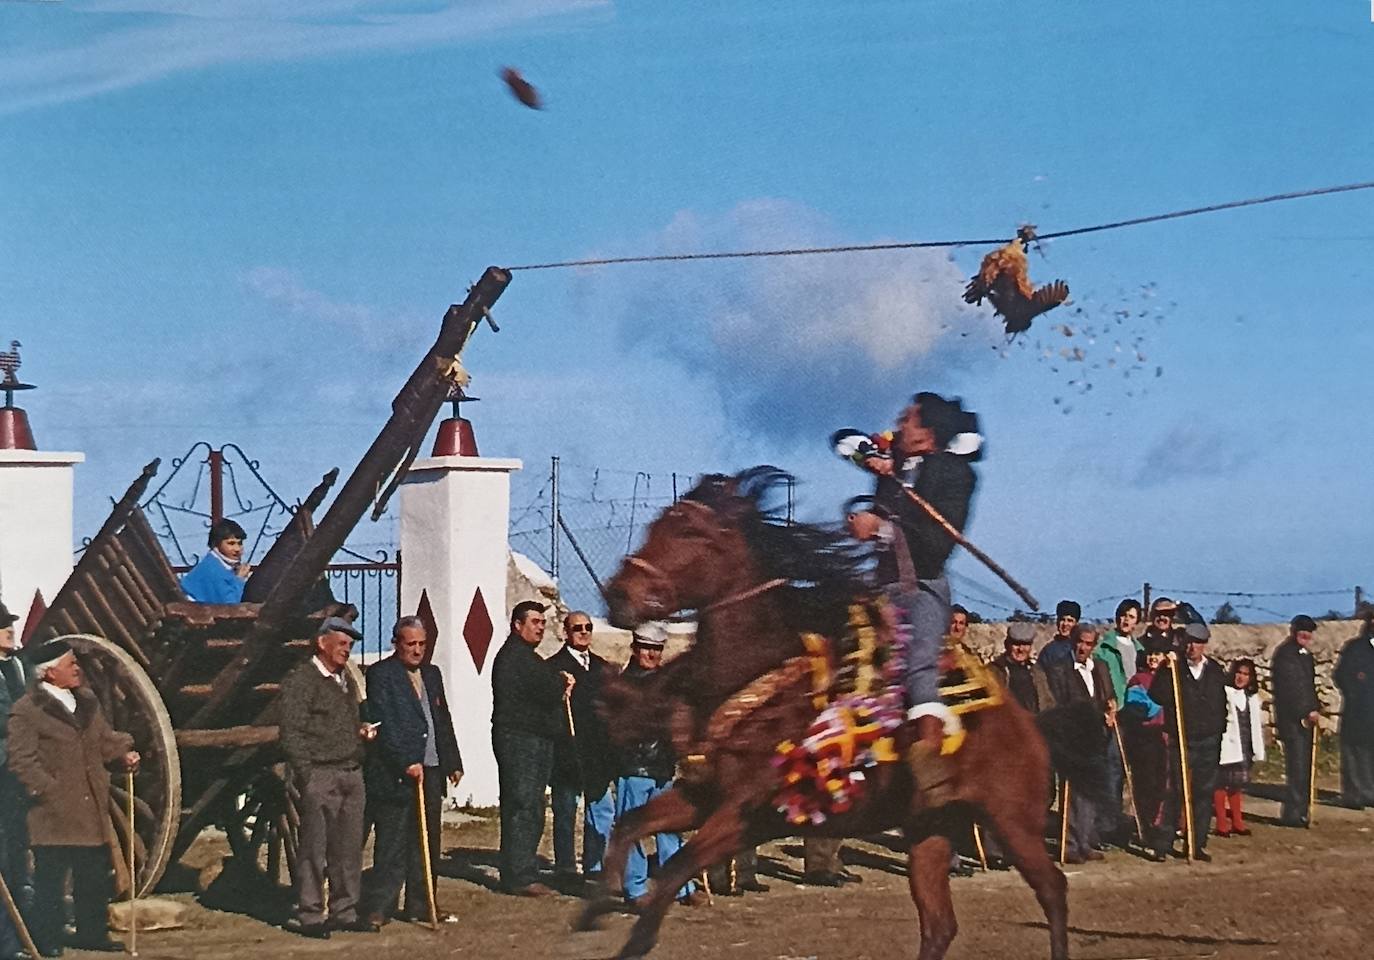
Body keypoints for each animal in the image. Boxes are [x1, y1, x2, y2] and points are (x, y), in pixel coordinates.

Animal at [574, 472, 1077, 960]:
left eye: (689, 532)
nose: (618, 594)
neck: (754, 671)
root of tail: (1028, 726)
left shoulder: (746, 816)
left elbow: (676, 864)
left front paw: (637, 937)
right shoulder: (703, 797)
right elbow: (630, 826)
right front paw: (594, 912)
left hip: (1012, 822)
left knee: (1052, 889)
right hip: (929, 832)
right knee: (940, 926)